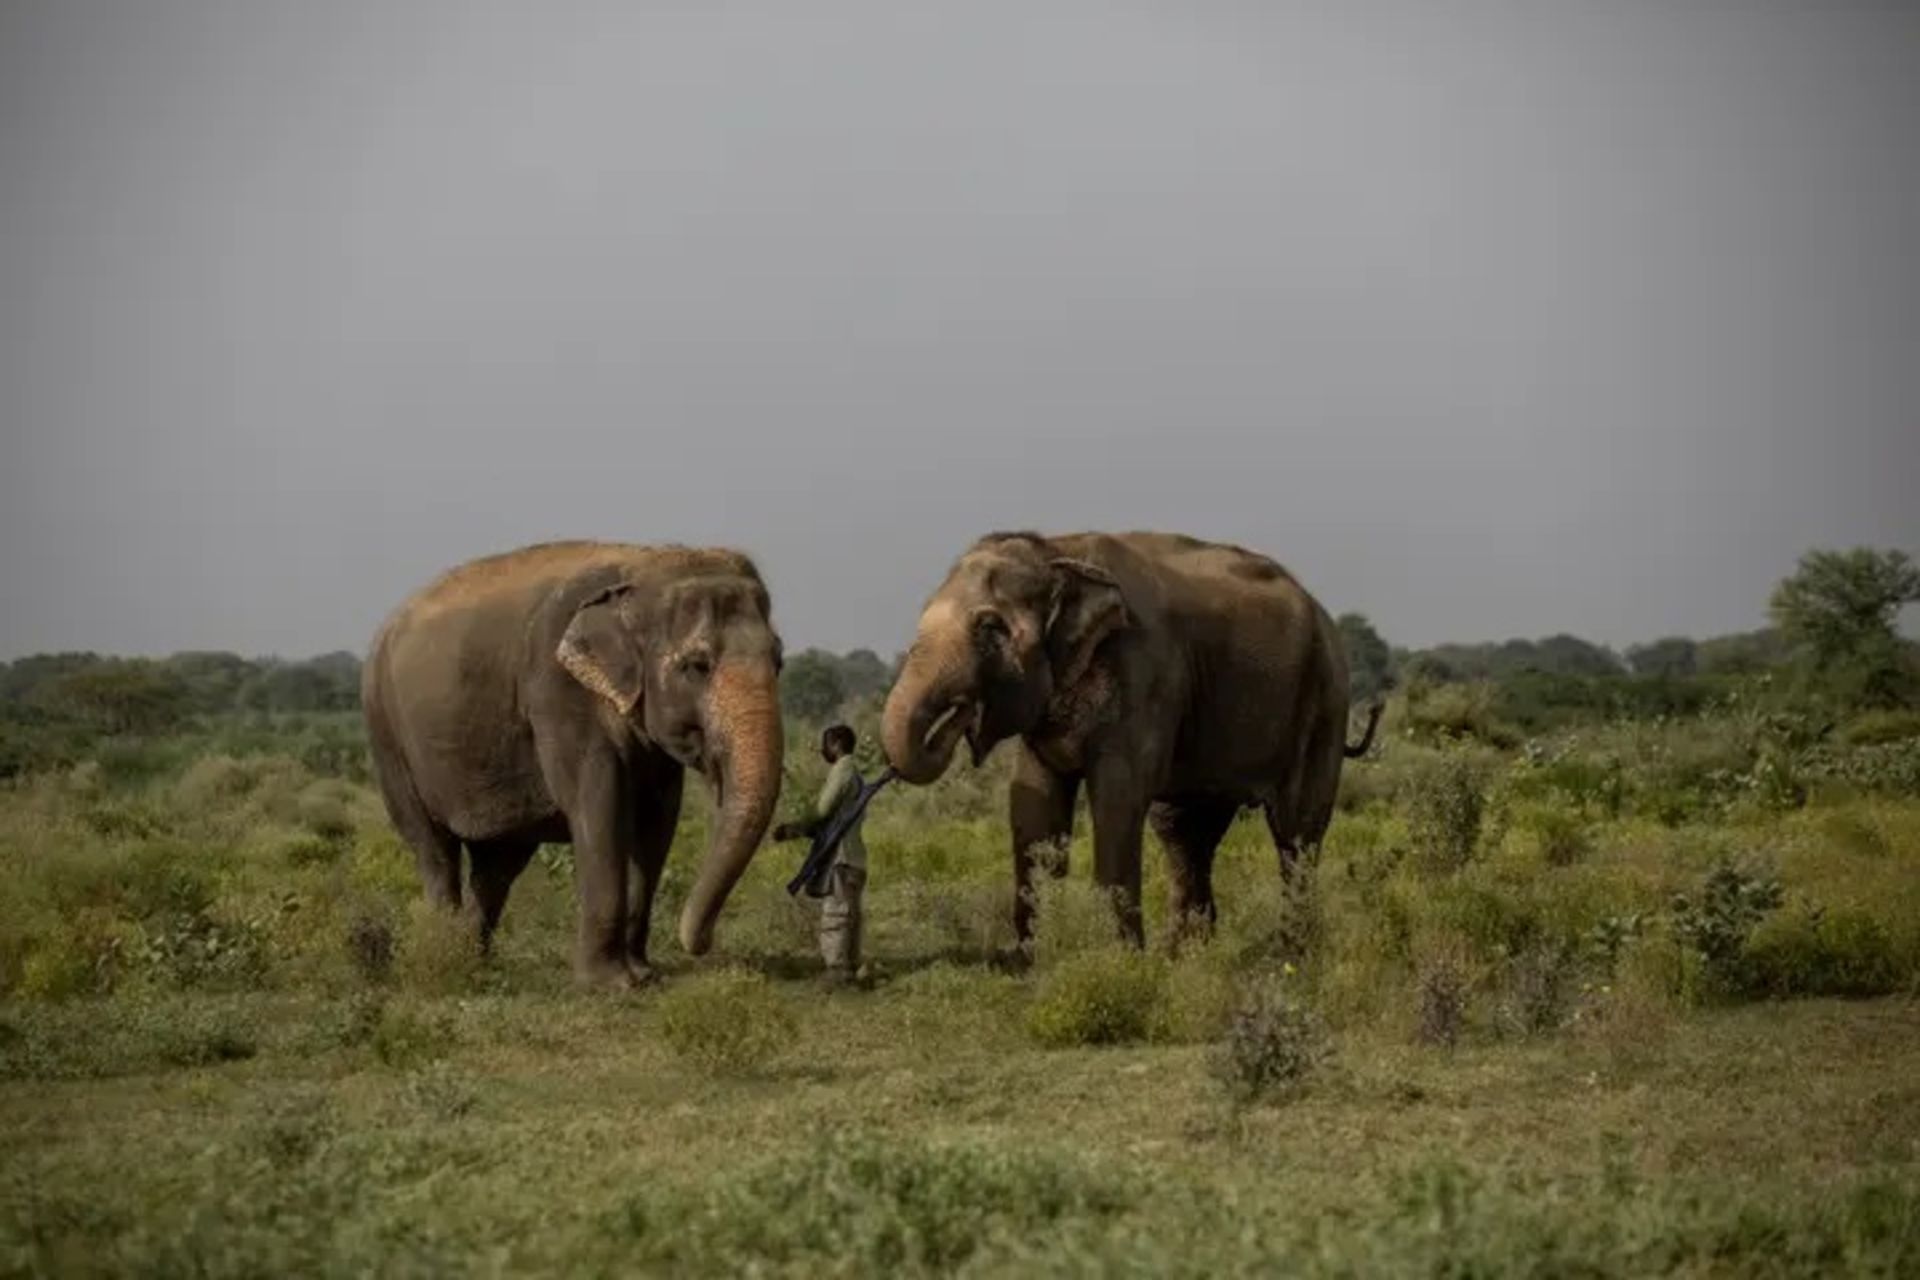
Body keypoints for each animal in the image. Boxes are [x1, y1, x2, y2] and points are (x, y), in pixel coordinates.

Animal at [357, 537, 783, 990]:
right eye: (696, 666)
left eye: (779, 661)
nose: (697, 943)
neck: (641, 564)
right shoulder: (557, 691)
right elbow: (600, 806)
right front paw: (612, 985)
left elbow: (658, 820)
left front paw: (644, 974)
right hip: (386, 735)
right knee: (434, 850)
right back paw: (446, 956)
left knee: (498, 866)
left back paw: (475, 959)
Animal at [883, 529, 1382, 951]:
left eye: (990, 629)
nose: (958, 715)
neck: (1057, 550)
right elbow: (1033, 809)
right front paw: (1029, 961)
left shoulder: (1144, 677)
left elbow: (1117, 799)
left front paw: (1117, 959)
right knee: (1185, 832)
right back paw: (1186, 954)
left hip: (1324, 704)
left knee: (1296, 833)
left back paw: (1293, 954)